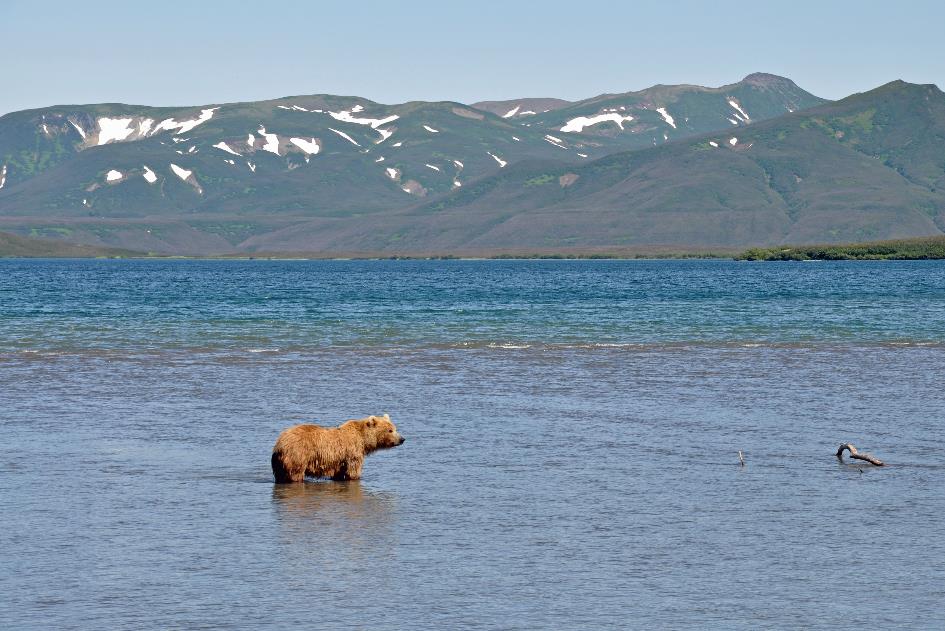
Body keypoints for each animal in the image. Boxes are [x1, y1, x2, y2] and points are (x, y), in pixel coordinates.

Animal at [272, 414, 406, 484]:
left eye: (395, 428)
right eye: (390, 430)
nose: (402, 439)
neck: (364, 441)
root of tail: (280, 442)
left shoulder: (339, 461)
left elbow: (340, 474)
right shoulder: (352, 453)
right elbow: (353, 472)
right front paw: (355, 477)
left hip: (279, 463)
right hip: (298, 454)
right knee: (296, 473)